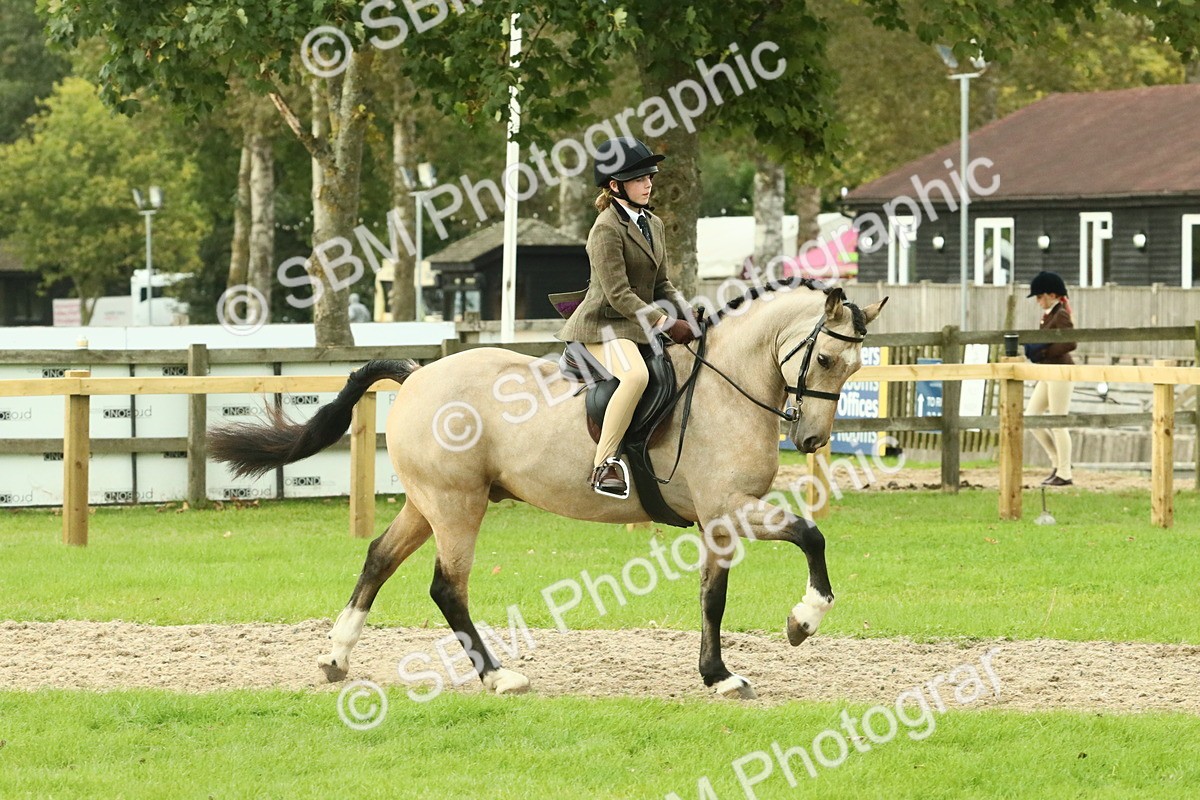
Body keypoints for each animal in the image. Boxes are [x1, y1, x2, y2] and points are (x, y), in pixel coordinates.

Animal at [208, 281, 886, 699]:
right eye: (828, 360)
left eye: (857, 367)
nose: (812, 440)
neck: (726, 386)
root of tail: (419, 373)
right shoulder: (730, 510)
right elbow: (809, 535)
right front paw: (801, 622)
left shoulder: (717, 520)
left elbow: (713, 596)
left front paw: (718, 674)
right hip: (457, 506)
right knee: (446, 587)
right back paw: (498, 677)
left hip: (430, 504)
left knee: (377, 558)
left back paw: (337, 658)